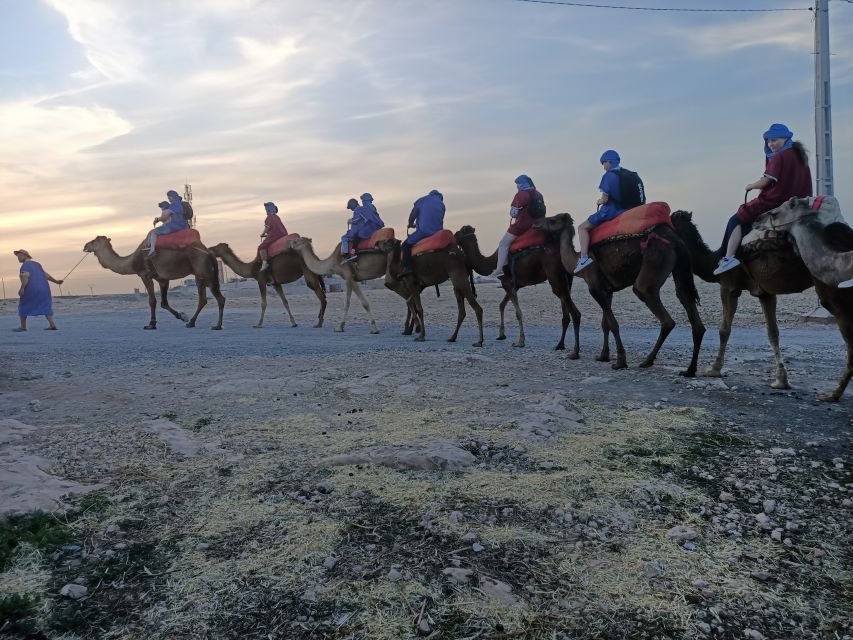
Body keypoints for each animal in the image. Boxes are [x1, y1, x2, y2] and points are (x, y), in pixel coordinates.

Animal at [80, 235, 223, 330]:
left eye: (94, 240)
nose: (85, 245)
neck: (132, 260)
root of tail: (209, 252)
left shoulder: (144, 275)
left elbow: (152, 301)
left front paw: (151, 324)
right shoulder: (162, 279)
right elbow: (163, 303)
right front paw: (182, 316)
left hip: (205, 271)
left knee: (219, 298)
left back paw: (217, 325)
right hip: (200, 276)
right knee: (203, 299)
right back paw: (191, 322)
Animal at [452, 225, 580, 356]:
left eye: (460, 232)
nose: (453, 236)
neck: (491, 262)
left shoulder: (506, 283)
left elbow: (518, 312)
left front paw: (520, 342)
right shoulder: (514, 285)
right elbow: (502, 305)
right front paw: (501, 335)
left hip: (555, 277)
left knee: (574, 312)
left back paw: (575, 352)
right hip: (566, 279)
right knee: (566, 313)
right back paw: (560, 345)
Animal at [532, 215, 704, 376]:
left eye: (552, 220)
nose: (536, 223)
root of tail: (677, 242)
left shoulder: (594, 287)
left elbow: (613, 324)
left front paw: (619, 361)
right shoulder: (607, 290)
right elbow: (605, 324)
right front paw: (603, 356)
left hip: (654, 262)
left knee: (661, 313)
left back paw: (647, 361)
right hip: (680, 269)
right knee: (688, 304)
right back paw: (689, 370)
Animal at [668, 212, 816, 388]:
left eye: (670, 221)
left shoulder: (729, 287)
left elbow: (724, 330)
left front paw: (714, 368)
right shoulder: (765, 292)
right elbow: (773, 332)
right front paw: (781, 379)